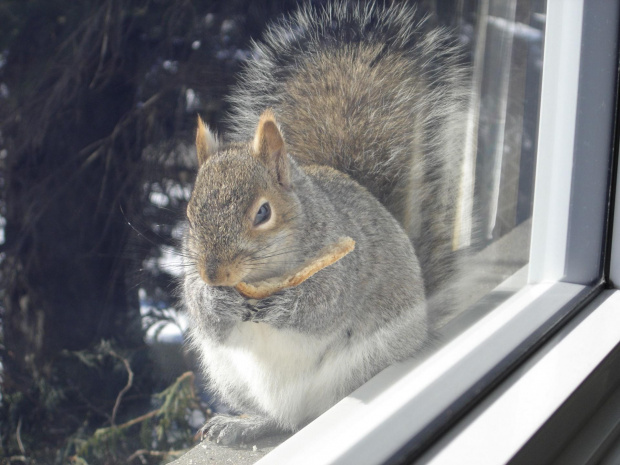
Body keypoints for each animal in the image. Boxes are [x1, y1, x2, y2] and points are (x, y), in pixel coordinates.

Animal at [182, 0, 468, 446]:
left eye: (262, 212)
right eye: (190, 213)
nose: (215, 274)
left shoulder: (346, 262)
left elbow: (322, 304)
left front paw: (284, 306)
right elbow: (199, 306)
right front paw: (215, 299)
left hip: (365, 362)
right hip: (230, 377)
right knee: (279, 420)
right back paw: (244, 424)